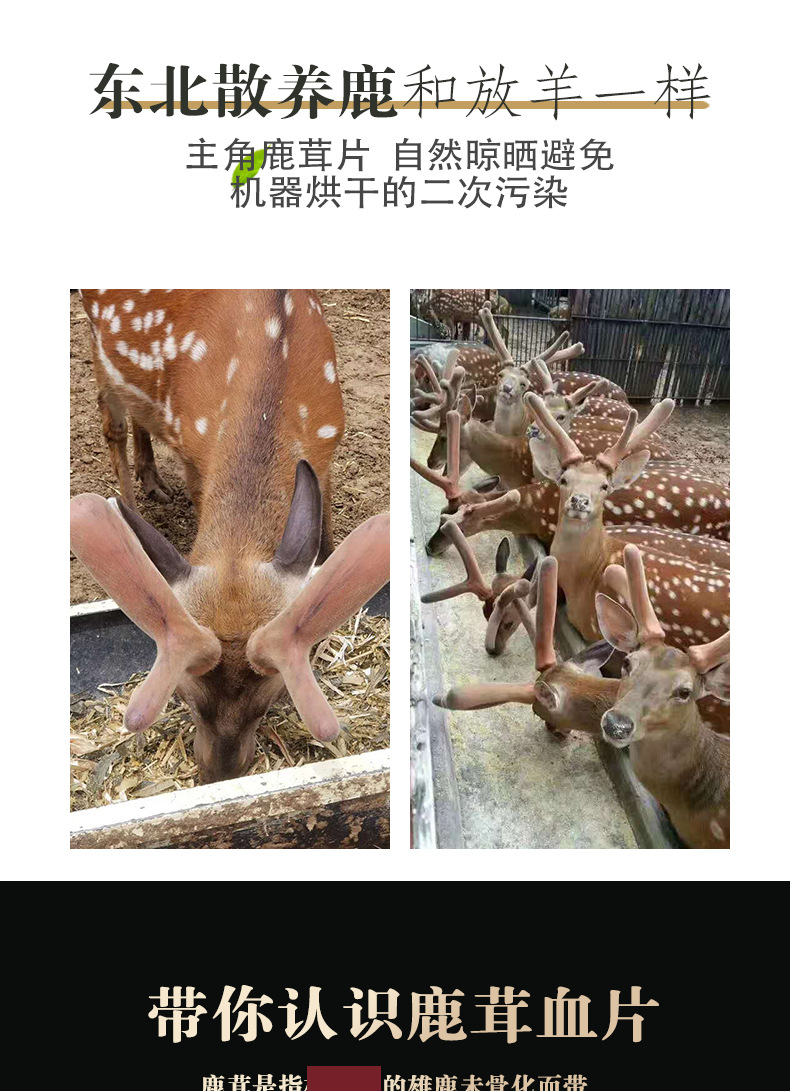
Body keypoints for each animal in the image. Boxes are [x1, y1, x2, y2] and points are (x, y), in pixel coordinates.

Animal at [73, 289, 390, 783]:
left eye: (271, 699)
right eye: (184, 697)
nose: (220, 772)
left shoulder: (327, 450)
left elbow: (327, 543)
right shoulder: (194, 449)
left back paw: (152, 481)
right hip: (97, 345)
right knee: (113, 425)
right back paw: (132, 500)